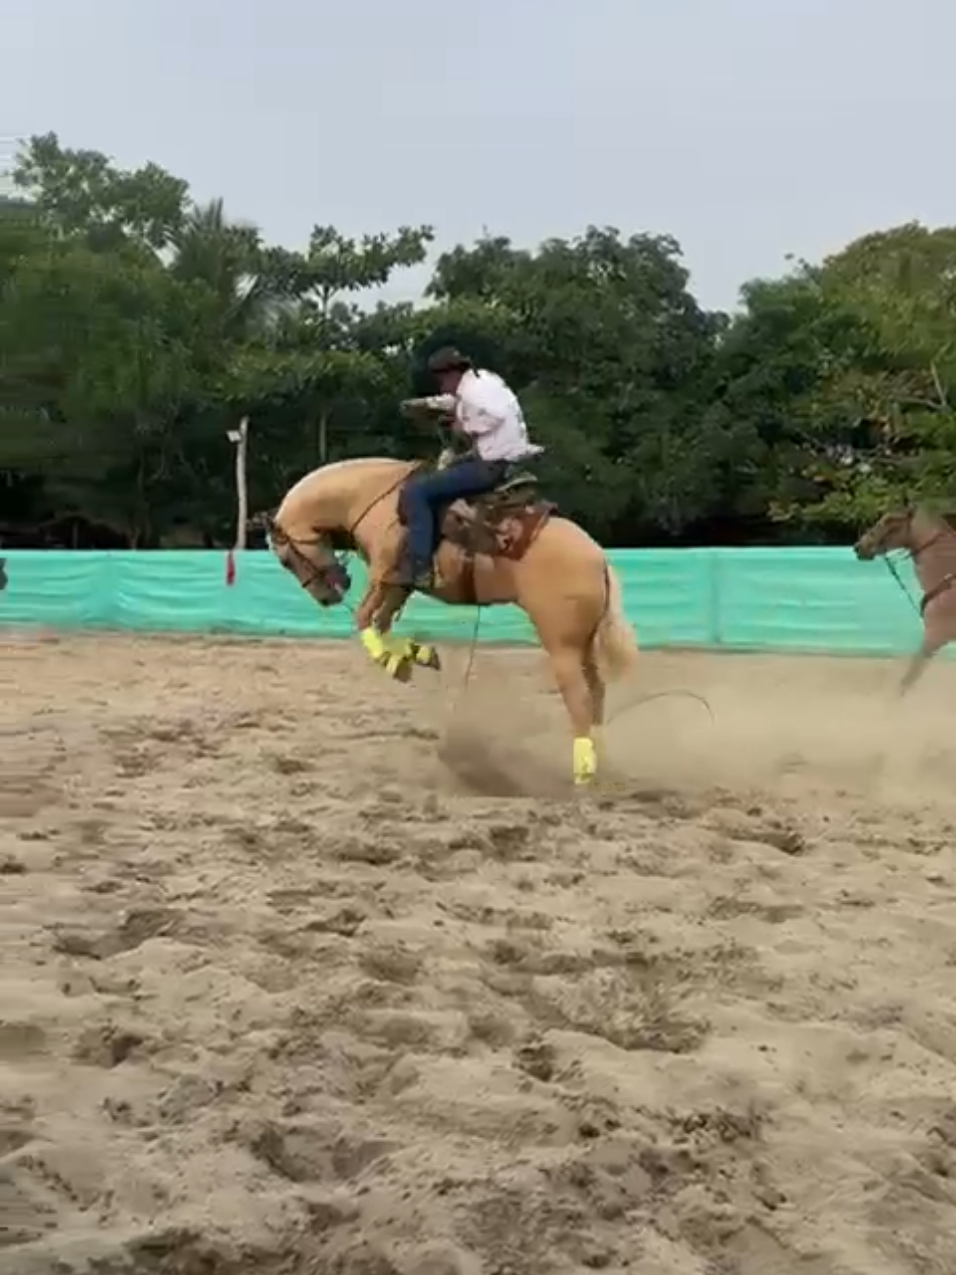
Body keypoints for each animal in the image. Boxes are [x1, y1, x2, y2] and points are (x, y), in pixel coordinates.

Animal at [266, 456, 639, 785]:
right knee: (597, 693)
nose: (327, 597)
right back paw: (599, 761)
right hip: (583, 644)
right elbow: (382, 622)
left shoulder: (384, 574)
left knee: (580, 700)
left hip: (560, 644)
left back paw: (582, 772)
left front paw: (391, 658)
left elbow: (362, 620)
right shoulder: (400, 584)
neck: (374, 499)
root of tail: (599, 559)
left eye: (285, 559)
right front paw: (412, 657)